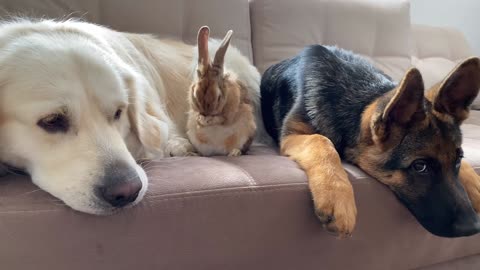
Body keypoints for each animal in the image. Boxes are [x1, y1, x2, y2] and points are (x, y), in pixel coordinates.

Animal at [186, 25, 256, 156]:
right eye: (195, 94)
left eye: (218, 97)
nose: (206, 113)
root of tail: (218, 152)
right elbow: (197, 117)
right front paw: (201, 120)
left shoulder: (230, 115)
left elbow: (221, 119)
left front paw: (208, 120)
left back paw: (234, 152)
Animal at [260, 45, 480, 237]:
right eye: (420, 166)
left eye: (458, 159)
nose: (473, 227)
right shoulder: (291, 136)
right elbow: (320, 140)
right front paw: (336, 195)